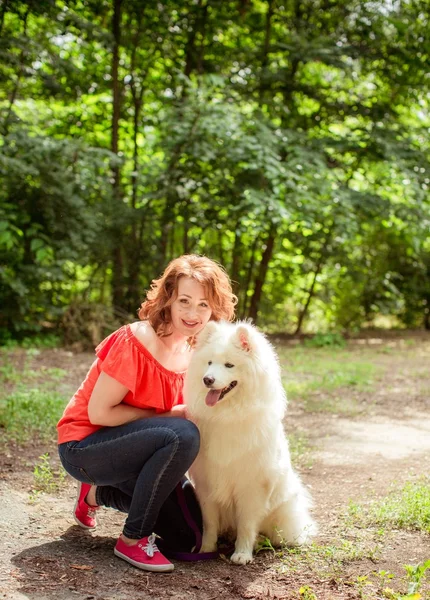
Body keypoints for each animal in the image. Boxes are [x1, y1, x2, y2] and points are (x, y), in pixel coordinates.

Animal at [184, 322, 316, 564]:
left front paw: (242, 553)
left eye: (229, 365)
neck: (227, 416)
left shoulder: (251, 485)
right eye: (209, 362)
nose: (207, 380)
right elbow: (209, 523)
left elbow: (246, 524)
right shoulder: (207, 485)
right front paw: (205, 549)